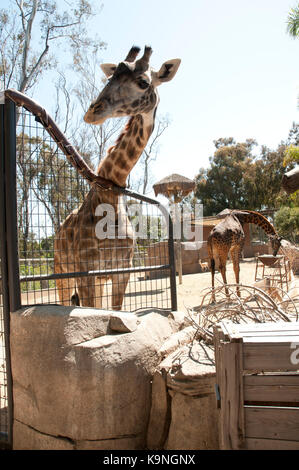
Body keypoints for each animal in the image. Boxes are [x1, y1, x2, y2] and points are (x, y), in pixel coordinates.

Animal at [53, 46, 180, 310]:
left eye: (143, 82)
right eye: (110, 77)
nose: (92, 111)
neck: (110, 196)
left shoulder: (121, 271)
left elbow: (115, 311)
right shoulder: (86, 272)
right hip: (63, 272)